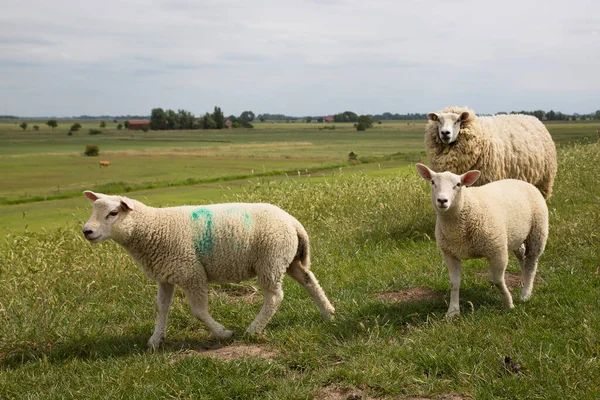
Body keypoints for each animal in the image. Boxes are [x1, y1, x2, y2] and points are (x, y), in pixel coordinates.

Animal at [80, 191, 336, 346]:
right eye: (93, 211)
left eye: (113, 213)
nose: (86, 231)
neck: (152, 228)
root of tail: (292, 221)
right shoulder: (165, 275)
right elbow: (162, 308)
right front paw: (155, 339)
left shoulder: (191, 272)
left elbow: (198, 311)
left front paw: (223, 333)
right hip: (288, 259)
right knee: (309, 280)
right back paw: (328, 312)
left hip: (270, 260)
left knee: (274, 296)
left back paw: (254, 329)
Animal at [418, 162, 548, 316]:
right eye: (433, 182)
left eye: (458, 184)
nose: (442, 200)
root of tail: (520, 181)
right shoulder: (449, 254)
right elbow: (454, 284)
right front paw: (453, 311)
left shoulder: (497, 250)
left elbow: (498, 281)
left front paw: (509, 303)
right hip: (515, 237)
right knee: (524, 259)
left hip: (537, 232)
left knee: (531, 263)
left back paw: (526, 294)